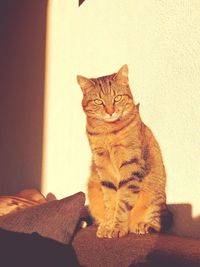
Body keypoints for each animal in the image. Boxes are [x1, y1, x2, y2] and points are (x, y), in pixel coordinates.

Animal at [76, 65, 172, 239]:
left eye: (117, 98)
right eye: (98, 101)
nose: (110, 111)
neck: (107, 131)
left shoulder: (131, 165)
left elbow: (123, 201)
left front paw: (118, 227)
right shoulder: (103, 167)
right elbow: (110, 201)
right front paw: (108, 226)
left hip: (154, 192)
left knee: (158, 222)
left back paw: (142, 225)